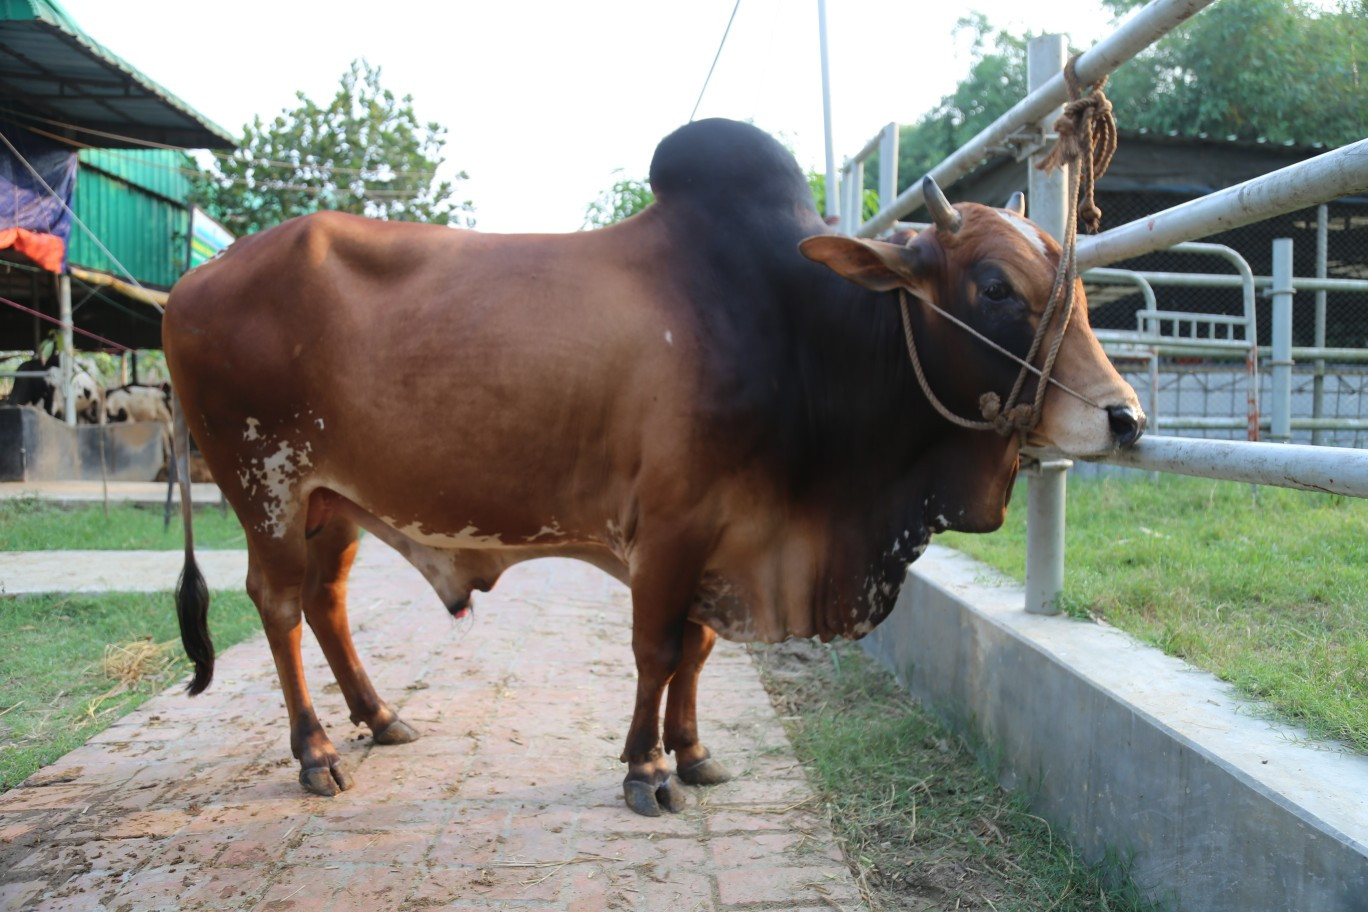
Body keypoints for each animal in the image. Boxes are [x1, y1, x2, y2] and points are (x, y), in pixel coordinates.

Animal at [164, 118, 1144, 817]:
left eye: (1075, 284)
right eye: (994, 286)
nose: (1126, 417)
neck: (798, 326)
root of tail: (190, 285)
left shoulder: (729, 536)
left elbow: (698, 651)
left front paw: (696, 754)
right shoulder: (671, 528)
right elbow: (657, 648)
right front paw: (644, 769)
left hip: (335, 502)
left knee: (326, 604)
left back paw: (380, 719)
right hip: (265, 485)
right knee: (279, 606)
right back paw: (317, 753)